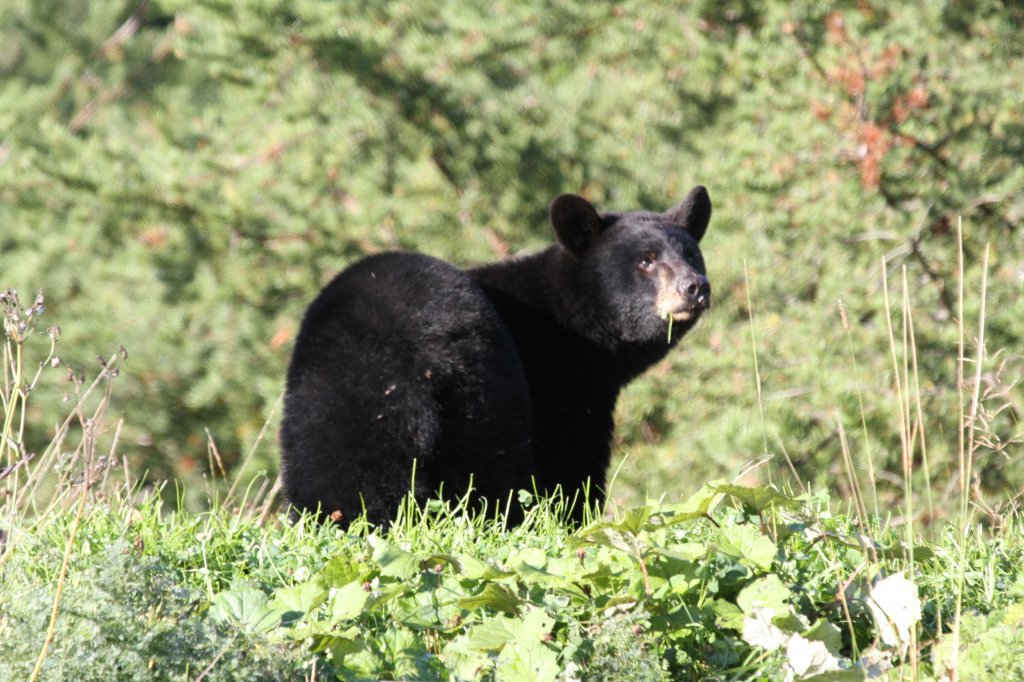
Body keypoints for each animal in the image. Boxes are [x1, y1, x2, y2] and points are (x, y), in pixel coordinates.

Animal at [280, 186, 712, 524]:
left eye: (691, 253)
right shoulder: (559, 384)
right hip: (482, 391)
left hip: (327, 401)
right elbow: (572, 458)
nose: (695, 287)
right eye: (646, 260)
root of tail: (403, 366)